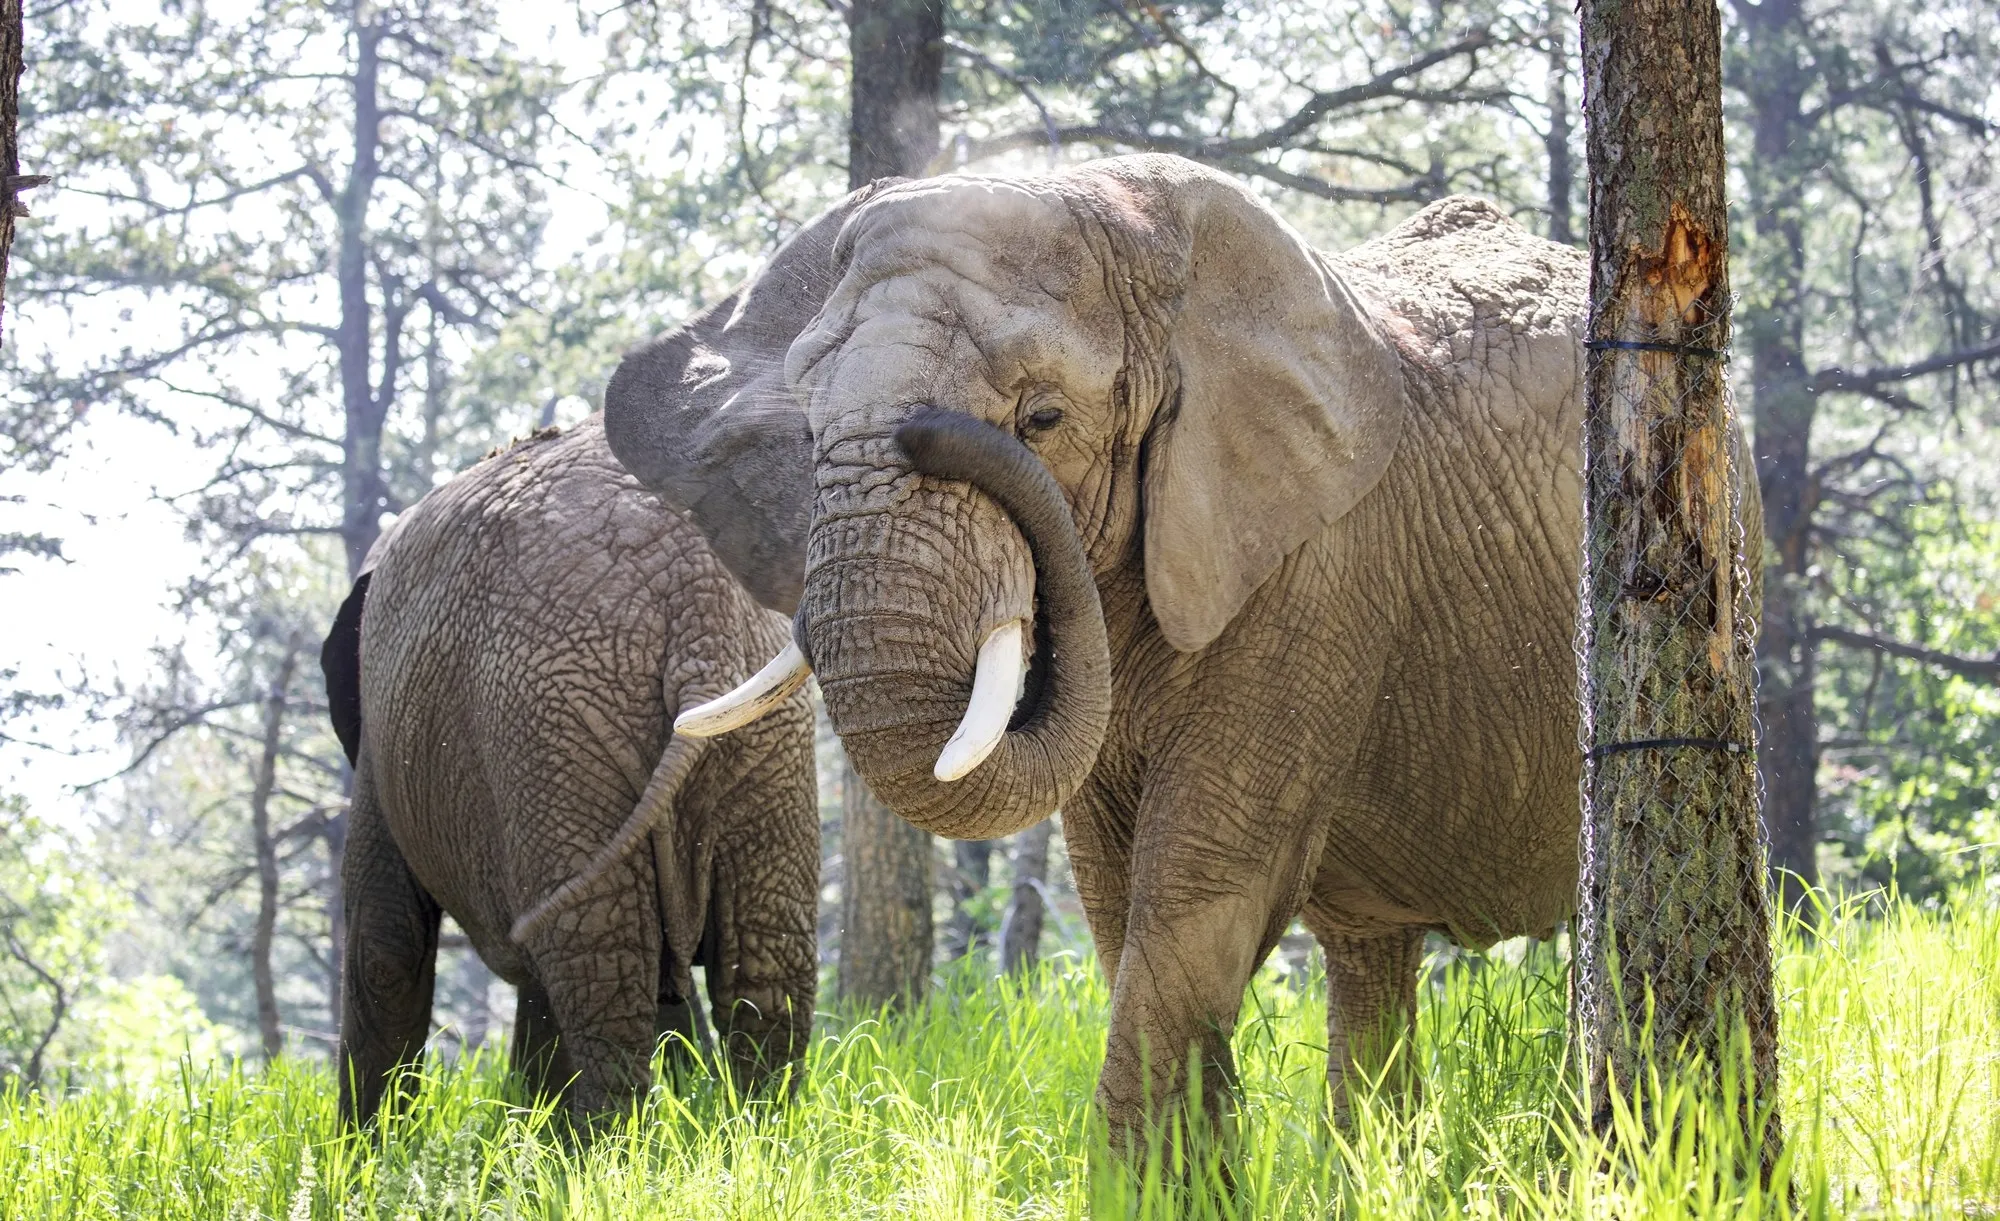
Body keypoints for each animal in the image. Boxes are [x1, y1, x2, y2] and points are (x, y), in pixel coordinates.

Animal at [316, 410, 816, 1120]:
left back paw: (604, 1148)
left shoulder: (380, 759)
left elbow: (386, 946)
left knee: (600, 969)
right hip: (761, 739)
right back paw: (756, 1134)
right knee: (764, 972)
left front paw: (363, 1152)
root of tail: (694, 603)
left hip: (551, 728)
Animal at [600, 157, 1760, 1136]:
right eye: (805, 434)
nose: (933, 430)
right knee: (1368, 957)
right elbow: (1116, 898)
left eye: (1042, 418)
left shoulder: (1318, 567)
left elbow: (1201, 883)